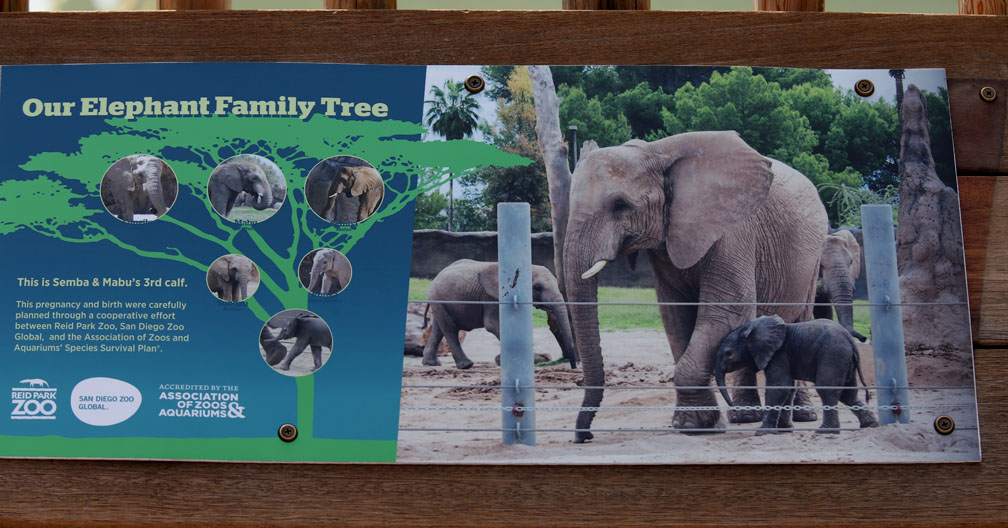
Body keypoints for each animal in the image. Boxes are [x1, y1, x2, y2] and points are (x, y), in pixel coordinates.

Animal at [421, 259, 577, 370]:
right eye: (538, 287)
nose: (573, 366)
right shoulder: (492, 298)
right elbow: (493, 325)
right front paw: (537, 357)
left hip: (440, 302)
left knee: (439, 328)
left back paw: (431, 363)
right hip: (440, 298)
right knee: (450, 328)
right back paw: (466, 365)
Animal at [564, 131, 828, 442]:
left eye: (620, 205)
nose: (585, 436)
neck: (655, 152)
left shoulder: (732, 231)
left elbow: (727, 311)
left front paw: (695, 426)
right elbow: (676, 317)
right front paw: (696, 423)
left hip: (813, 256)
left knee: (800, 320)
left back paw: (800, 416)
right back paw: (745, 416)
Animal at [715, 315, 878, 434]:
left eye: (728, 353)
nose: (733, 408)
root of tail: (851, 341)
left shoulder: (779, 355)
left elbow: (779, 388)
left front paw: (762, 432)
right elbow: (788, 390)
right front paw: (783, 430)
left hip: (833, 356)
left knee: (827, 390)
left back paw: (825, 431)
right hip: (844, 360)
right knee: (848, 394)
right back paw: (870, 425)